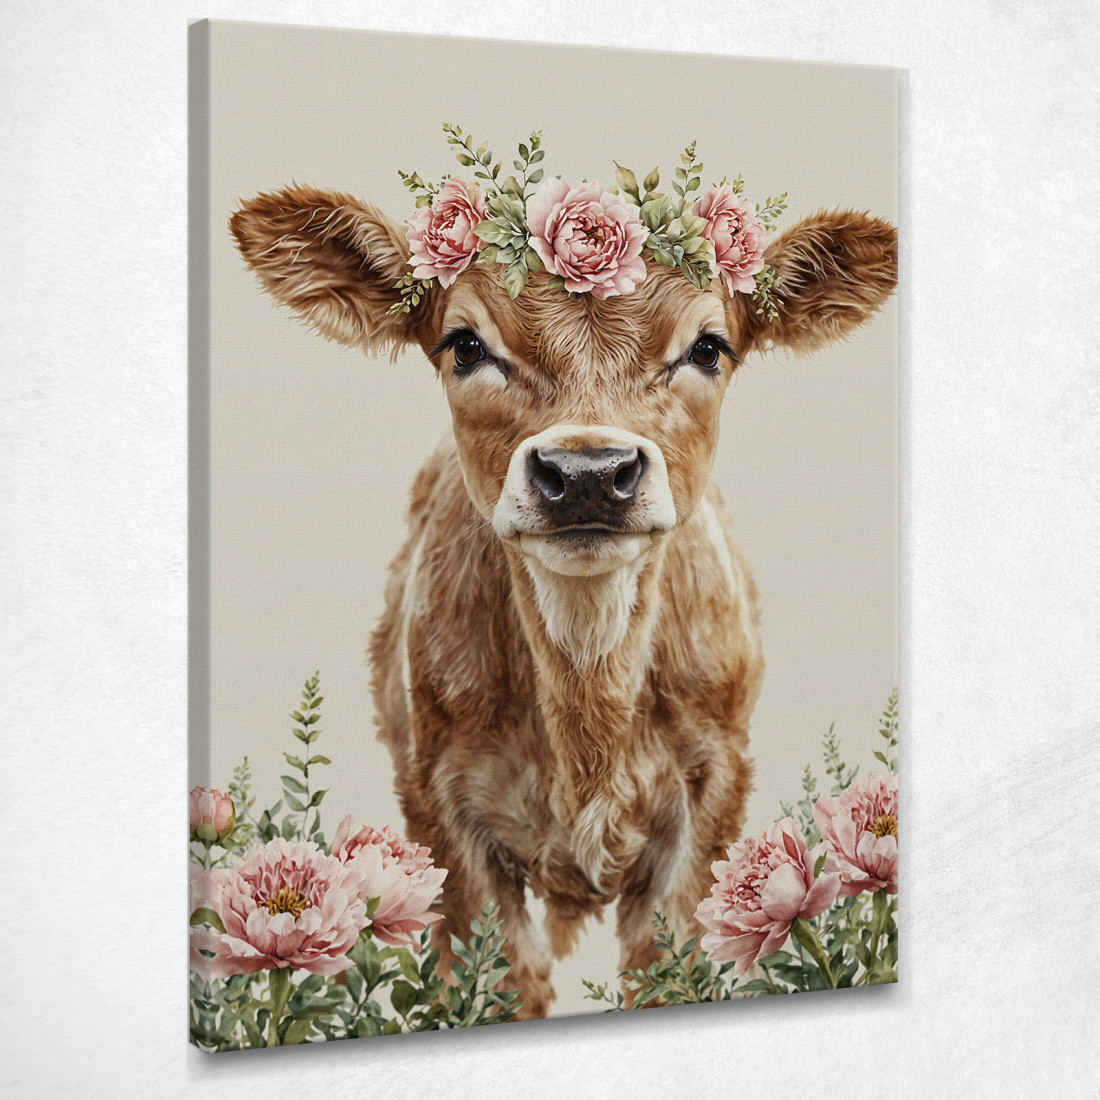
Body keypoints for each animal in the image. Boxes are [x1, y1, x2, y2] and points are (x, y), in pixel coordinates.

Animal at [230, 182, 897, 1017]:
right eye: (466, 345)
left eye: (707, 347)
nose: (588, 473)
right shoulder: (445, 817)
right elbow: (498, 983)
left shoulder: (709, 806)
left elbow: (668, 970)